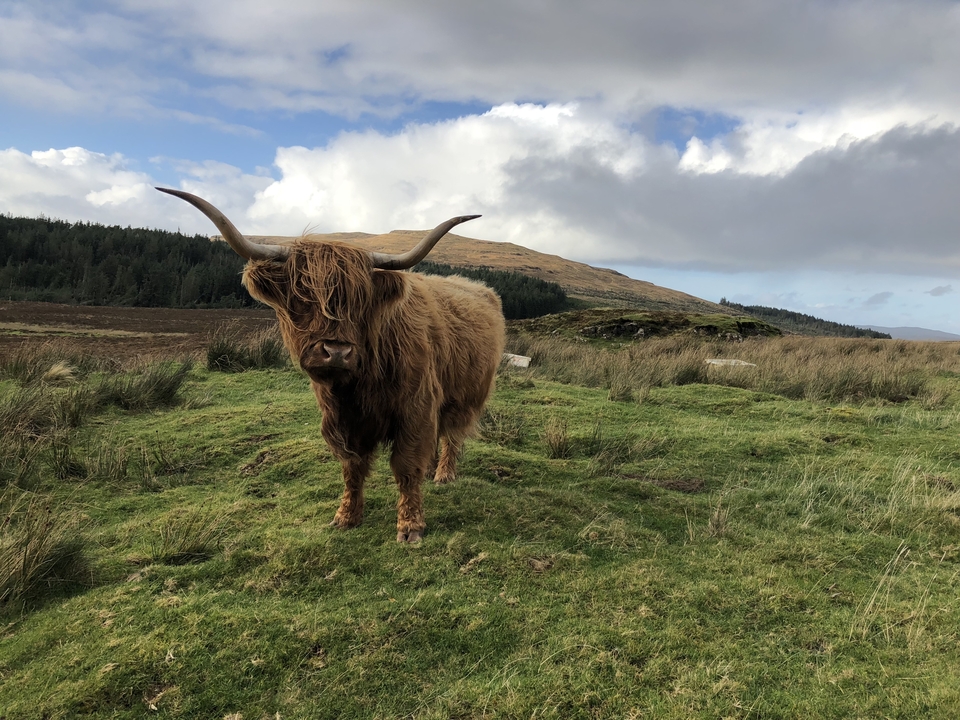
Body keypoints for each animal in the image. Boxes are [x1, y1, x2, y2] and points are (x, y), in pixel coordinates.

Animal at [157, 188, 505, 542]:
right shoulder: (341, 419)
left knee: (453, 434)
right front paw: (346, 517)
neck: (358, 385)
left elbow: (407, 467)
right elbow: (352, 467)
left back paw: (444, 473)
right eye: (302, 296)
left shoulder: (415, 406)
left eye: (362, 301)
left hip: (467, 394)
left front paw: (410, 527)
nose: (336, 352)